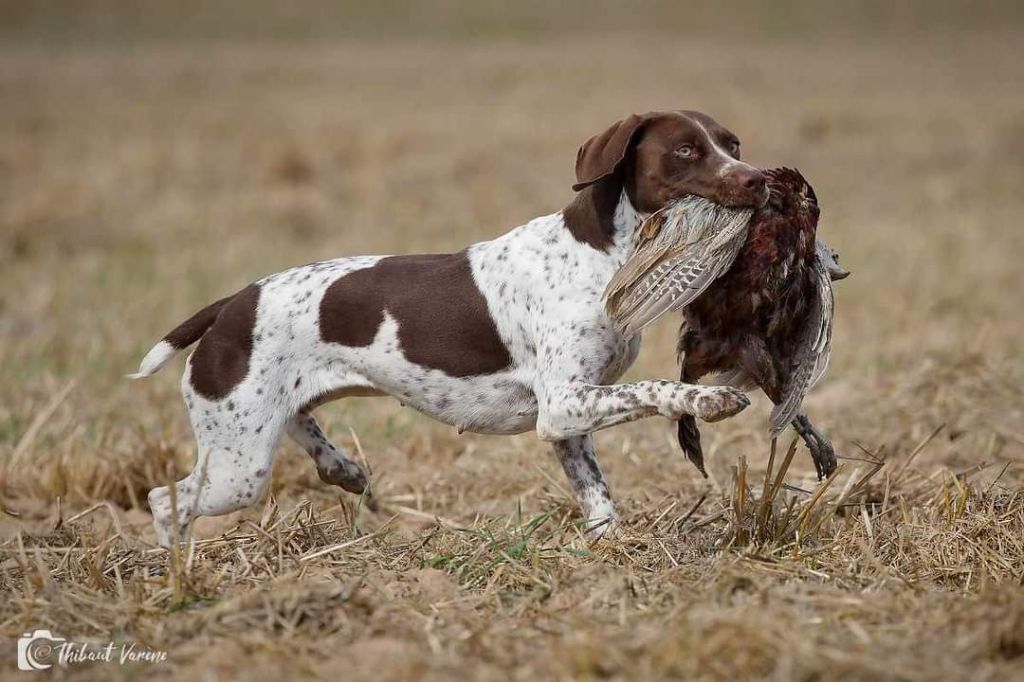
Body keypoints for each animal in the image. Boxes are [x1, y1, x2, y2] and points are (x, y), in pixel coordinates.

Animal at [130, 111, 770, 548]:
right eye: (686, 150)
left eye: (734, 145)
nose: (759, 179)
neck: (603, 254)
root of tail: (231, 304)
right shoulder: (564, 402)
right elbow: (657, 389)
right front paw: (711, 398)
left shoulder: (566, 418)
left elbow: (596, 494)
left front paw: (612, 551)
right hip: (238, 467)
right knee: (165, 501)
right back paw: (177, 573)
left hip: (258, 427)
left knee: (298, 429)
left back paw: (340, 468)